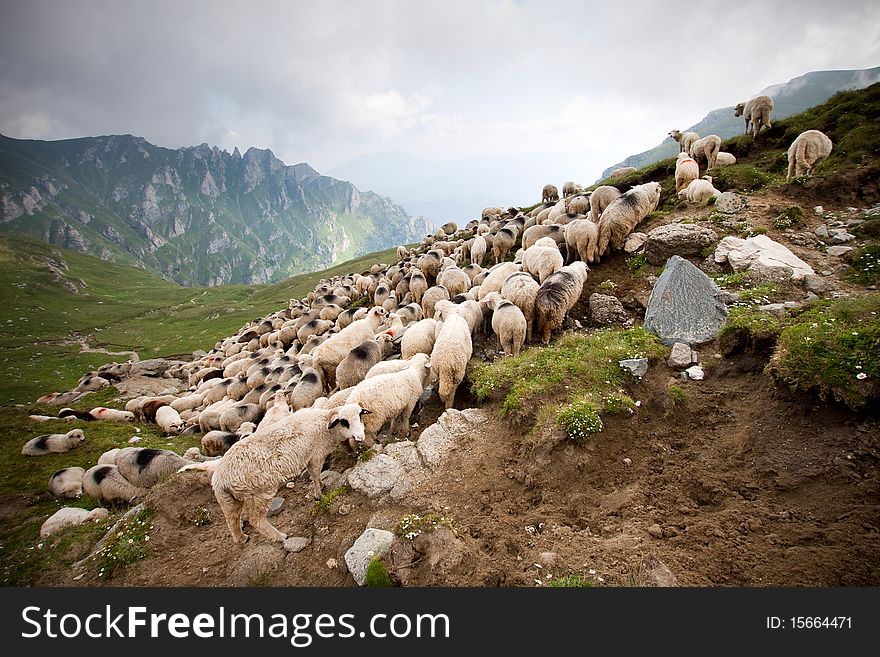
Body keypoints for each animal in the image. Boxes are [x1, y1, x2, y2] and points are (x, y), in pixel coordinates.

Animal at [213, 404, 372, 544]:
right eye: (344, 421)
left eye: (360, 416)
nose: (360, 437)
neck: (325, 428)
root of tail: (219, 480)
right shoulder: (315, 456)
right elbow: (315, 475)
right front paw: (318, 494)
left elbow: (315, 475)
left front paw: (321, 485)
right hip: (260, 492)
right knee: (256, 520)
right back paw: (280, 536)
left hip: (230, 500)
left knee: (232, 520)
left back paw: (241, 538)